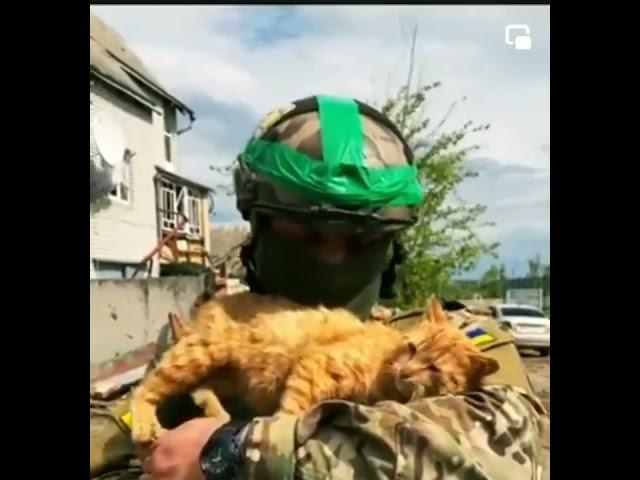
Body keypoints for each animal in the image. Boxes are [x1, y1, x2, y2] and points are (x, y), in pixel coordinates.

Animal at [131, 294, 500, 444]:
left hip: (227, 376)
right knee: (148, 387)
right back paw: (145, 425)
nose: (407, 372)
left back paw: (218, 416)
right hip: (204, 353)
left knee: (199, 388)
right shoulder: (316, 367)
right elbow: (290, 413)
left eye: (434, 369)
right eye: (412, 348)